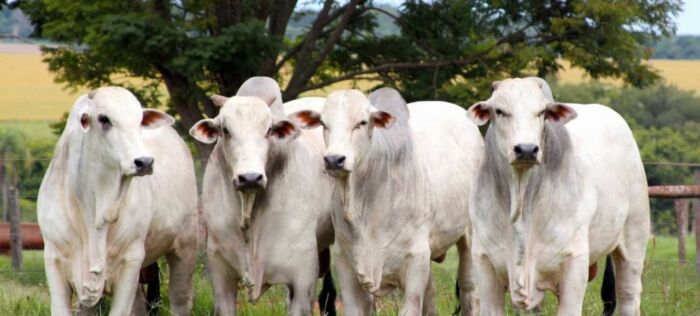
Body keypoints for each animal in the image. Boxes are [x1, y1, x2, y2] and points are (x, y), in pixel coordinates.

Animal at [37, 87, 198, 316]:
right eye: (104, 119)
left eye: (139, 120)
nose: (144, 162)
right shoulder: (53, 259)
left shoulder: (131, 260)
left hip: (185, 246)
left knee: (180, 300)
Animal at [292, 88, 484, 316]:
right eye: (324, 123)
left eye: (362, 122)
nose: (333, 160)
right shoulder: (345, 263)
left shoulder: (415, 262)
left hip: (469, 237)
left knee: (469, 289)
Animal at [464, 77, 652, 316]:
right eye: (499, 110)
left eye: (541, 112)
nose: (527, 149)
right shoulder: (484, 264)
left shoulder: (574, 263)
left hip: (634, 241)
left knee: (628, 296)